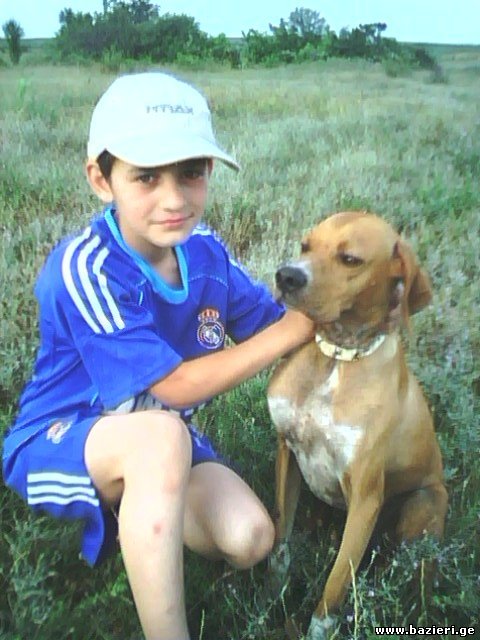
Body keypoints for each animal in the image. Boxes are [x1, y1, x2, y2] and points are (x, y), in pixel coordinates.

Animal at [267, 212, 447, 640]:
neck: (337, 357)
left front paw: (319, 626)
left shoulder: (366, 497)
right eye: (305, 246)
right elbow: (280, 536)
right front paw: (269, 594)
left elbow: (334, 585)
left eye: (350, 259)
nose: (286, 276)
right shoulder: (287, 449)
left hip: (422, 503)